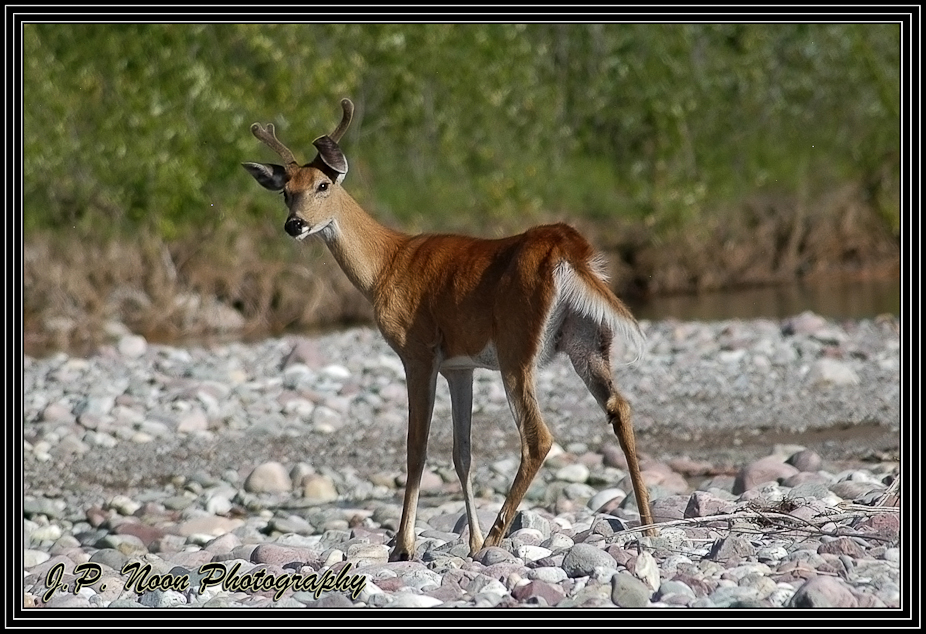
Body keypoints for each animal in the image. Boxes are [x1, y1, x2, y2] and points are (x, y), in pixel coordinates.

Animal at [243, 97, 656, 556]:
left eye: (322, 186)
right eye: (286, 191)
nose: (294, 224)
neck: (386, 265)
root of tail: (568, 248)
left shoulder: (417, 351)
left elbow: (417, 447)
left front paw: (404, 545)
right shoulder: (460, 366)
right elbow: (463, 452)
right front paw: (469, 541)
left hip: (517, 346)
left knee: (539, 437)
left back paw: (497, 535)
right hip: (587, 340)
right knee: (619, 407)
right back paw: (648, 527)